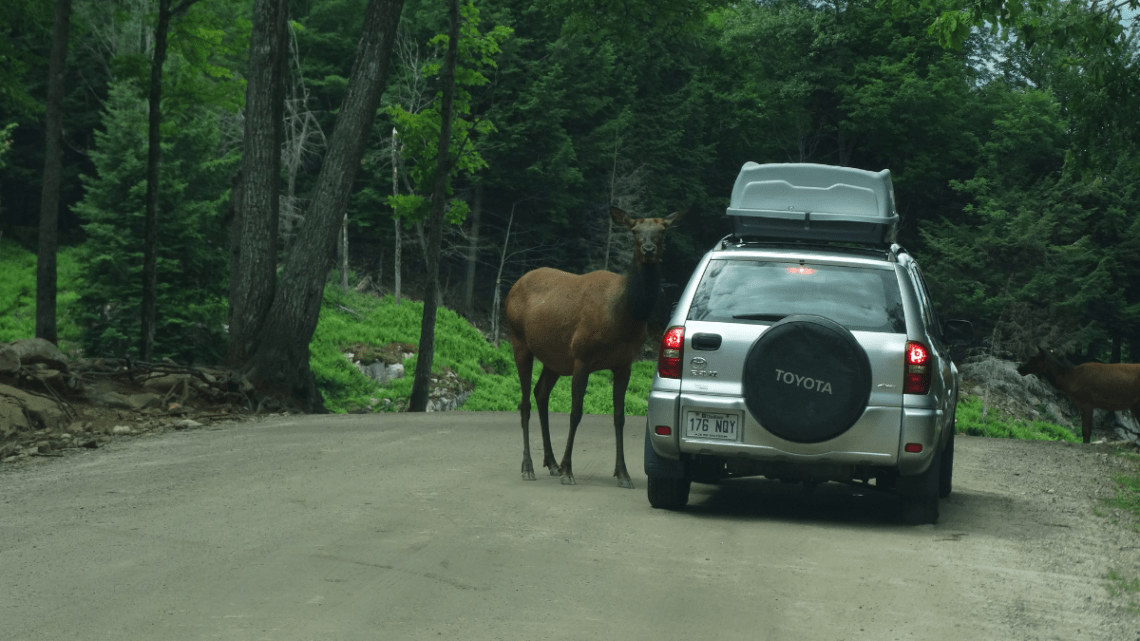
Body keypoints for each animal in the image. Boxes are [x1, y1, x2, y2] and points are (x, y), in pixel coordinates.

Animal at [504, 205, 687, 488]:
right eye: (635, 231)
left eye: (662, 230)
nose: (648, 249)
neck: (623, 318)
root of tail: (512, 287)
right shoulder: (582, 356)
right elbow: (576, 412)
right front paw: (569, 470)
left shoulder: (624, 363)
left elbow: (619, 417)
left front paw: (622, 473)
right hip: (519, 340)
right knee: (524, 402)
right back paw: (529, 467)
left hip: (555, 358)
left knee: (540, 393)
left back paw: (551, 463)